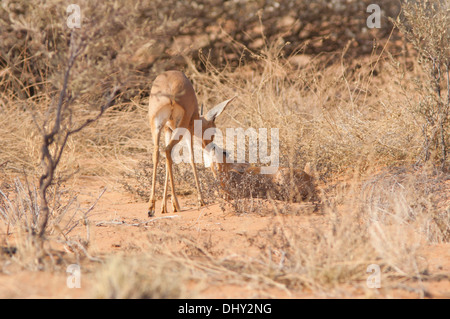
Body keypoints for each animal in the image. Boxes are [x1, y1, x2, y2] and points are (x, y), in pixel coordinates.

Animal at [149, 70, 236, 218]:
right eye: (213, 130)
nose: (209, 146)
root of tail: (169, 90)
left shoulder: (168, 129)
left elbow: (168, 162)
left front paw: (164, 206)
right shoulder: (188, 128)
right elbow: (191, 159)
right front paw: (201, 200)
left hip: (156, 126)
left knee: (158, 153)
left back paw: (151, 207)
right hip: (181, 126)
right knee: (167, 150)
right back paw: (177, 205)